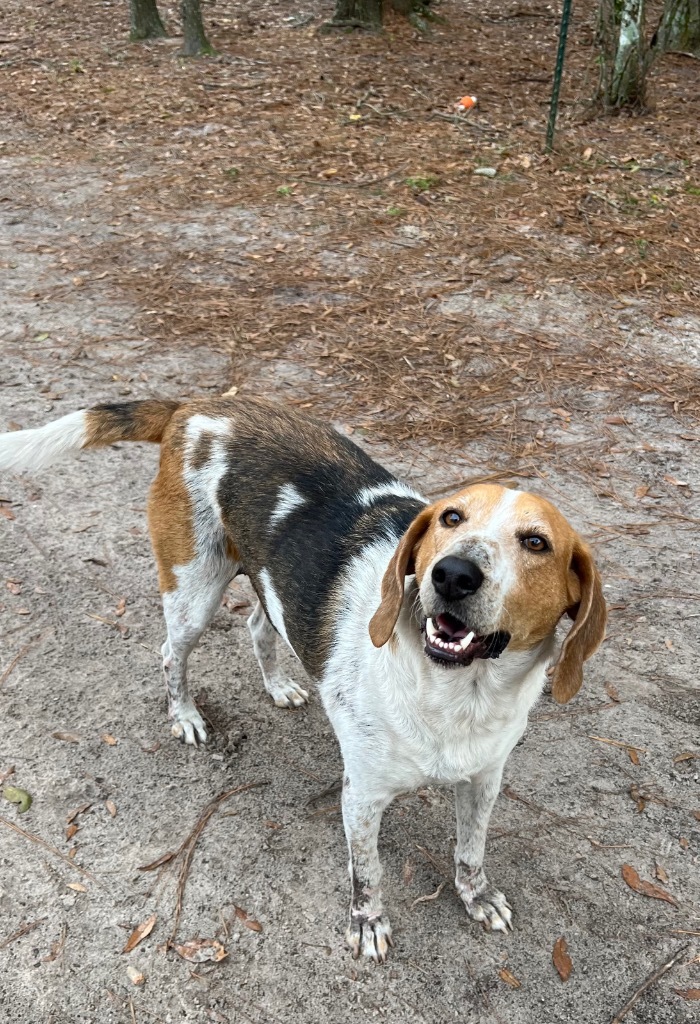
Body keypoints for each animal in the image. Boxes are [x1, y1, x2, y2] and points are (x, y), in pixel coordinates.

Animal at [0, 393, 605, 958]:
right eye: (450, 518)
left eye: (536, 543)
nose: (452, 574)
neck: (457, 693)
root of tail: (197, 406)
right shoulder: (362, 796)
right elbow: (368, 874)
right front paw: (367, 924)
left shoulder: (483, 781)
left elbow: (471, 851)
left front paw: (475, 896)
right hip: (194, 591)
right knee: (171, 653)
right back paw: (186, 715)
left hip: (262, 587)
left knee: (257, 627)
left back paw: (277, 685)